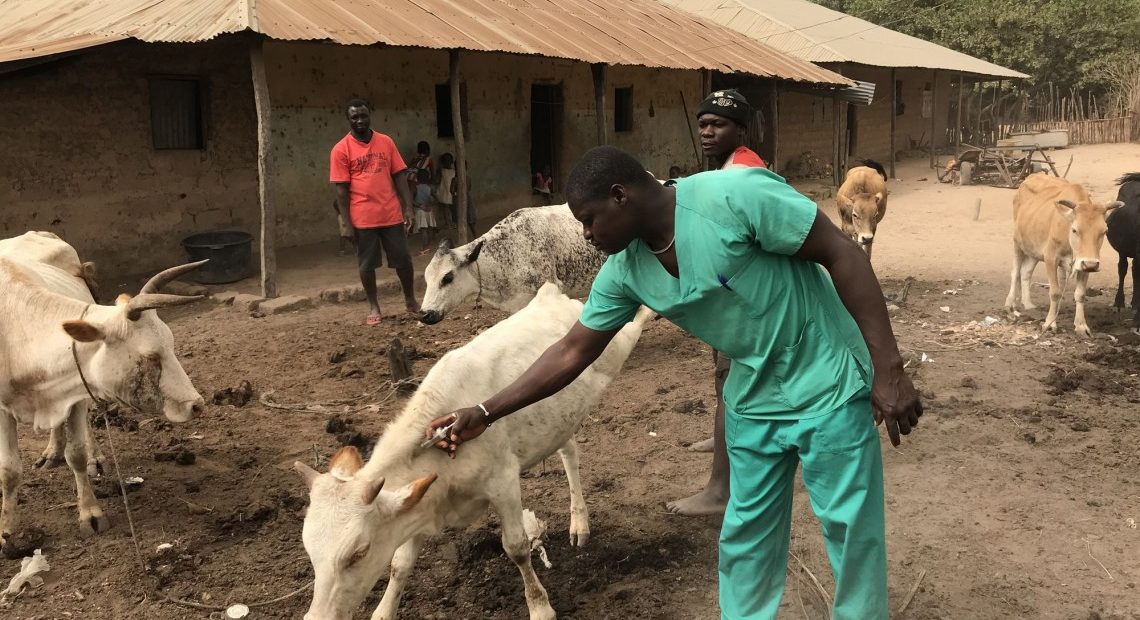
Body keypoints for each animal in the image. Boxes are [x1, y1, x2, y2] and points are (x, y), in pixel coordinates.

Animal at [294, 284, 652, 620]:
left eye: (358, 552)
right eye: (309, 550)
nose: (316, 617)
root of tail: (551, 296)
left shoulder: (504, 481)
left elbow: (516, 547)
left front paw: (540, 607)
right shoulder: (416, 503)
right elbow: (400, 563)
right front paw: (383, 612)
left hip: (615, 345)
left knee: (632, 326)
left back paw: (647, 307)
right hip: (559, 418)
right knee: (570, 453)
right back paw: (578, 521)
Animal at [1007, 174, 1121, 337]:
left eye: (1104, 231)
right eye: (1075, 230)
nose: (1092, 264)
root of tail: (1031, 176)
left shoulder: (1083, 264)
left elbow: (1080, 294)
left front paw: (1081, 326)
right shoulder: (1050, 258)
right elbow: (1055, 292)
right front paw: (1049, 324)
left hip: (1033, 249)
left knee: (1025, 272)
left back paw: (1028, 305)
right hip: (1017, 243)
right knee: (1015, 272)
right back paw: (1010, 304)